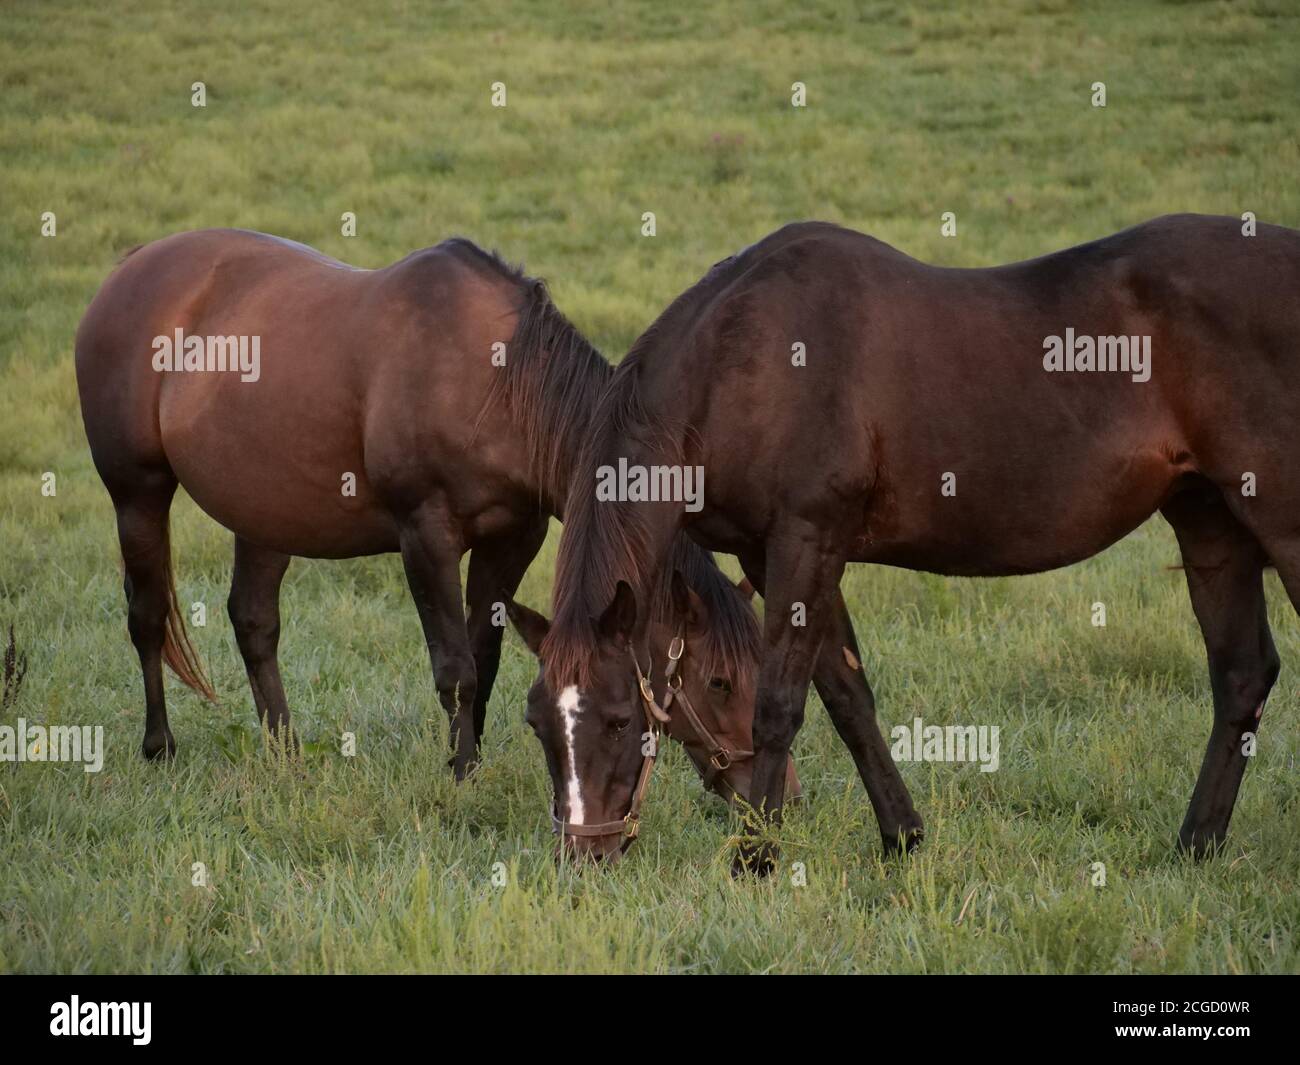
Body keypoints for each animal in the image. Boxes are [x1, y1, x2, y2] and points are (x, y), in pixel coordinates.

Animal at [71, 228, 806, 837]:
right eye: (719, 682)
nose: (781, 796)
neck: (497, 383)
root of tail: (130, 268)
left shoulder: (513, 538)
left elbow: (484, 660)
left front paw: (468, 763)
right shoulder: (425, 535)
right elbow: (454, 668)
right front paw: (459, 774)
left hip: (263, 515)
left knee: (254, 623)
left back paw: (285, 752)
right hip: (137, 493)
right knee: (146, 618)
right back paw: (160, 748)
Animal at [530, 211, 1300, 868]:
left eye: (619, 720)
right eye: (539, 724)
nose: (585, 856)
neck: (741, 359)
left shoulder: (806, 539)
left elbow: (780, 704)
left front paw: (756, 857)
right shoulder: (778, 553)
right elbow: (848, 697)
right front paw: (901, 836)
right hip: (1209, 522)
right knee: (1242, 676)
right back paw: (1196, 845)